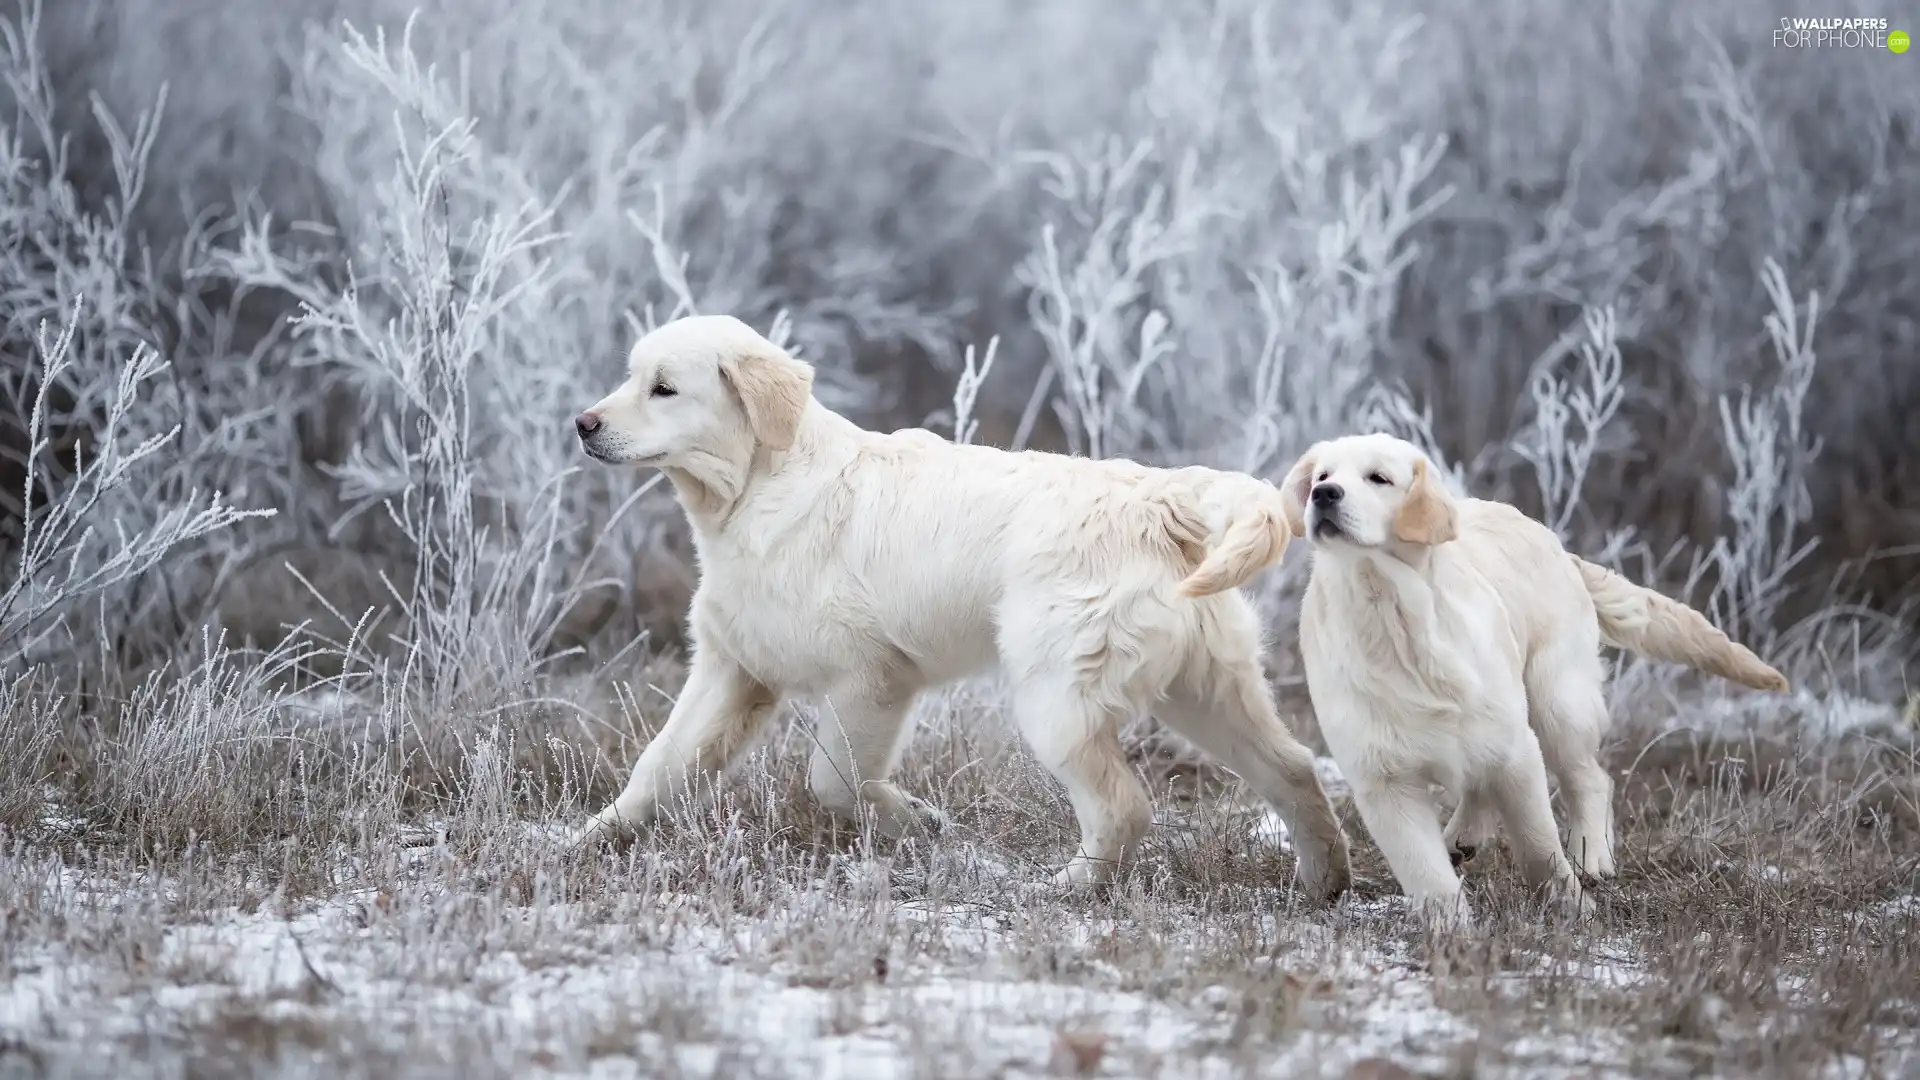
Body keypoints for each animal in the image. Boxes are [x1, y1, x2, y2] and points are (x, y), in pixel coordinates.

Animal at [564, 313, 1351, 899]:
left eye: (664, 389)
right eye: (633, 378)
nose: (583, 423)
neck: (758, 489)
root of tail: (1158, 500)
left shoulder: (870, 677)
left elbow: (835, 782)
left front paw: (918, 822)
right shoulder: (733, 670)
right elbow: (658, 766)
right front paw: (585, 842)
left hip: (1056, 699)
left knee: (1124, 807)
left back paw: (1064, 888)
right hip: (1207, 689)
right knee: (1293, 769)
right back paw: (1323, 882)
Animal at [1282, 432, 1789, 922]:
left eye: (1378, 478)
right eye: (1322, 475)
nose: (1324, 494)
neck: (1391, 615)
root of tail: (1559, 547)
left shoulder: (1516, 749)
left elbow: (1538, 844)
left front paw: (1571, 907)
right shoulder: (1383, 778)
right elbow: (1426, 872)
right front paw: (1450, 932)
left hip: (1556, 702)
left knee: (1591, 779)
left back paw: (1591, 855)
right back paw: (1464, 837)